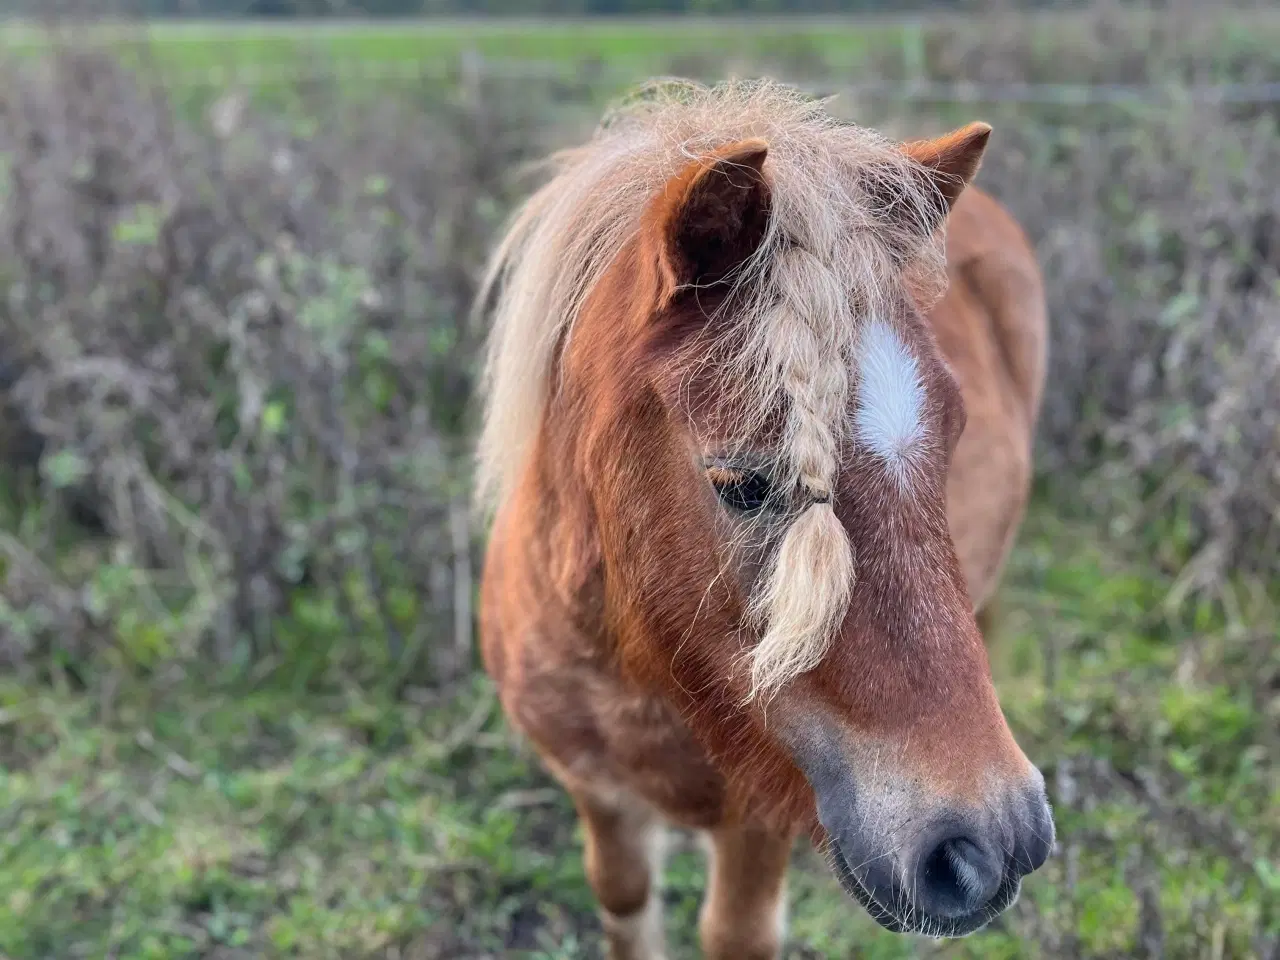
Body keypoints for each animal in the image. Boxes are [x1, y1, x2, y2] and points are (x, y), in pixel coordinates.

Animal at [476, 80, 1054, 960]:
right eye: (742, 483)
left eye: (954, 434)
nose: (990, 845)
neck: (632, 673)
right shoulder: (597, 792)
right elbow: (623, 896)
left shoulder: (759, 824)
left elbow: (734, 933)